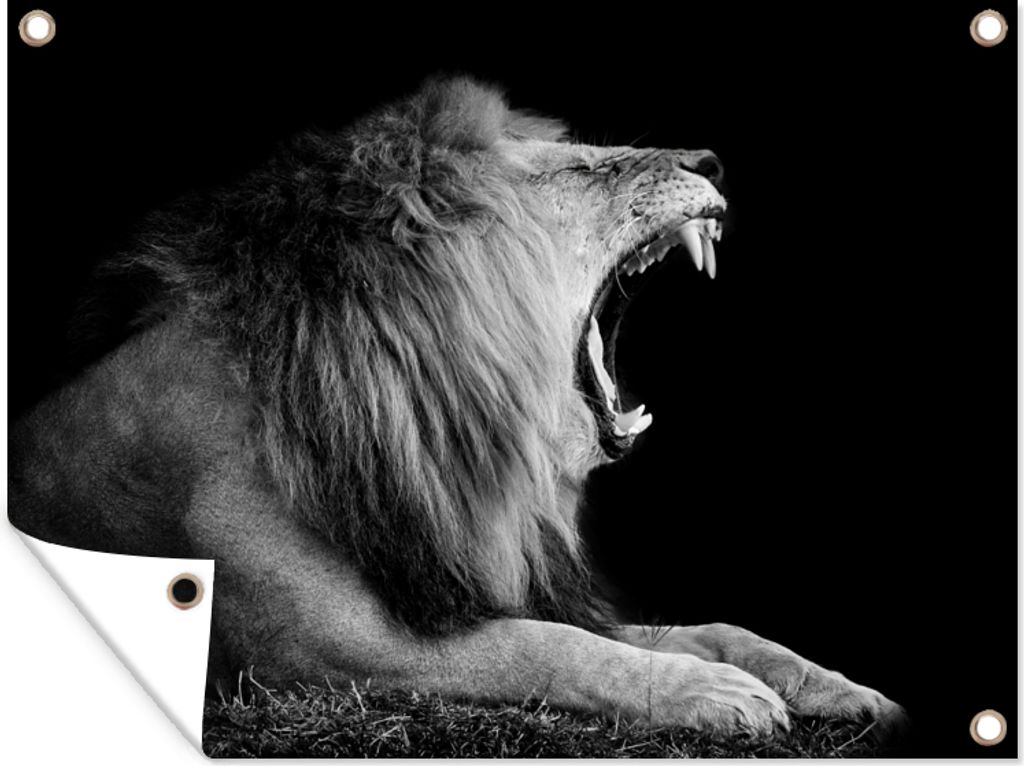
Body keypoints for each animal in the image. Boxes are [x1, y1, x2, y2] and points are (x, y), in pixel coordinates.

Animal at [8, 76, 905, 739]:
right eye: (578, 171)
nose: (713, 162)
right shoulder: (323, 655)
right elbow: (547, 650)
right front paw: (716, 695)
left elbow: (709, 627)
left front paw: (833, 685)